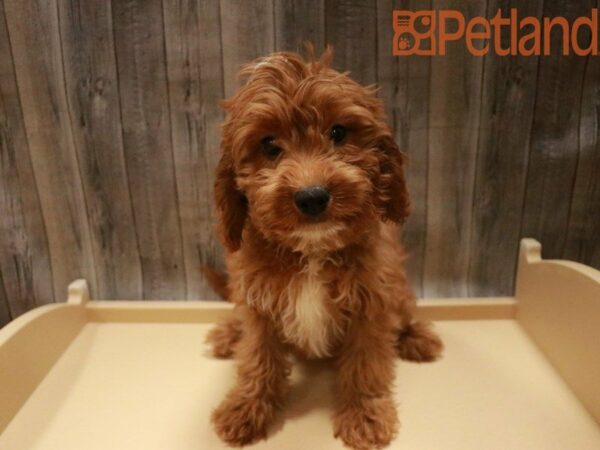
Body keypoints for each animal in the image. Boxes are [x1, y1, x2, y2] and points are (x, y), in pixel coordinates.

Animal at [209, 47, 442, 448]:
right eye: (268, 145)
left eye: (338, 132)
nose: (312, 196)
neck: (312, 252)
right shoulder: (258, 303)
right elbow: (257, 357)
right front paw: (246, 407)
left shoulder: (372, 300)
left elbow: (366, 362)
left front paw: (365, 414)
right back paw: (228, 334)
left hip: (398, 287)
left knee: (404, 312)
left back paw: (417, 338)